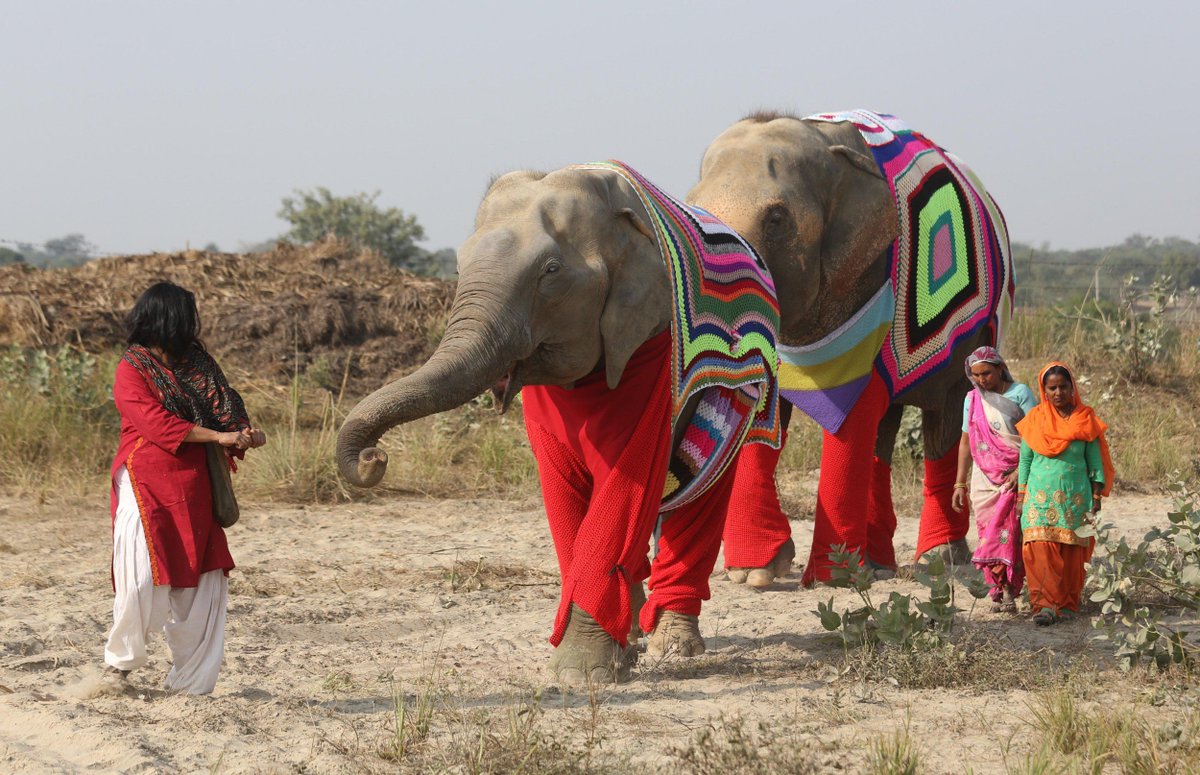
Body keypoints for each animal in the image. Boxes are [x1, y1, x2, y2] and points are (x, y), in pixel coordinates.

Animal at [336, 160, 782, 684]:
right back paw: (634, 631)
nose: (375, 457)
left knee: (700, 493)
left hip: (733, 395)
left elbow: (624, 487)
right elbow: (565, 494)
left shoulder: (649, 355)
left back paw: (675, 646)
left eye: (550, 272)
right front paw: (608, 656)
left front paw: (581, 673)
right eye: (458, 268)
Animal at [687, 109, 1014, 585]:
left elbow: (854, 409)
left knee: (943, 422)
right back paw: (879, 563)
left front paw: (834, 576)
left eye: (776, 220)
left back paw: (937, 558)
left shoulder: (868, 286)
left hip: (972, 338)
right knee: (886, 429)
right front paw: (756, 573)